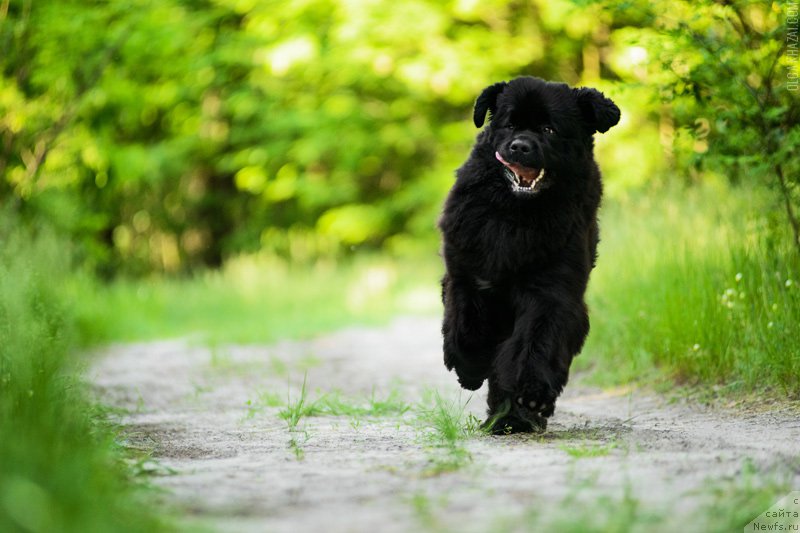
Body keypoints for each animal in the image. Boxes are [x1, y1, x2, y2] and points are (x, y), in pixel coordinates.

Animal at [438, 76, 620, 432]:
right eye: (510, 125)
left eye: (549, 129)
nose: (520, 146)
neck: (516, 213)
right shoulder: (466, 276)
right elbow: (464, 328)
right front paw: (470, 368)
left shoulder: (551, 291)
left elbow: (536, 341)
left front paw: (532, 394)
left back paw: (514, 419)